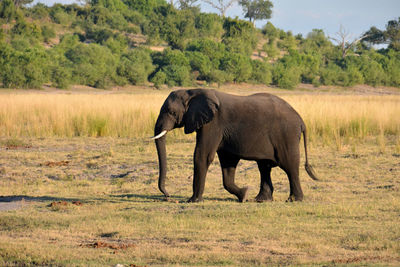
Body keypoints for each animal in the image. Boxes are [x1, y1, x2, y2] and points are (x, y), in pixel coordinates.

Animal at [152, 89, 318, 204]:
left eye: (171, 112)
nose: (167, 195)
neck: (192, 91)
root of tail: (301, 120)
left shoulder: (214, 124)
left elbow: (202, 155)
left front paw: (193, 201)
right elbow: (228, 161)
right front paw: (244, 194)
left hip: (286, 135)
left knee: (289, 166)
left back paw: (294, 200)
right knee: (264, 167)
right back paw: (260, 200)